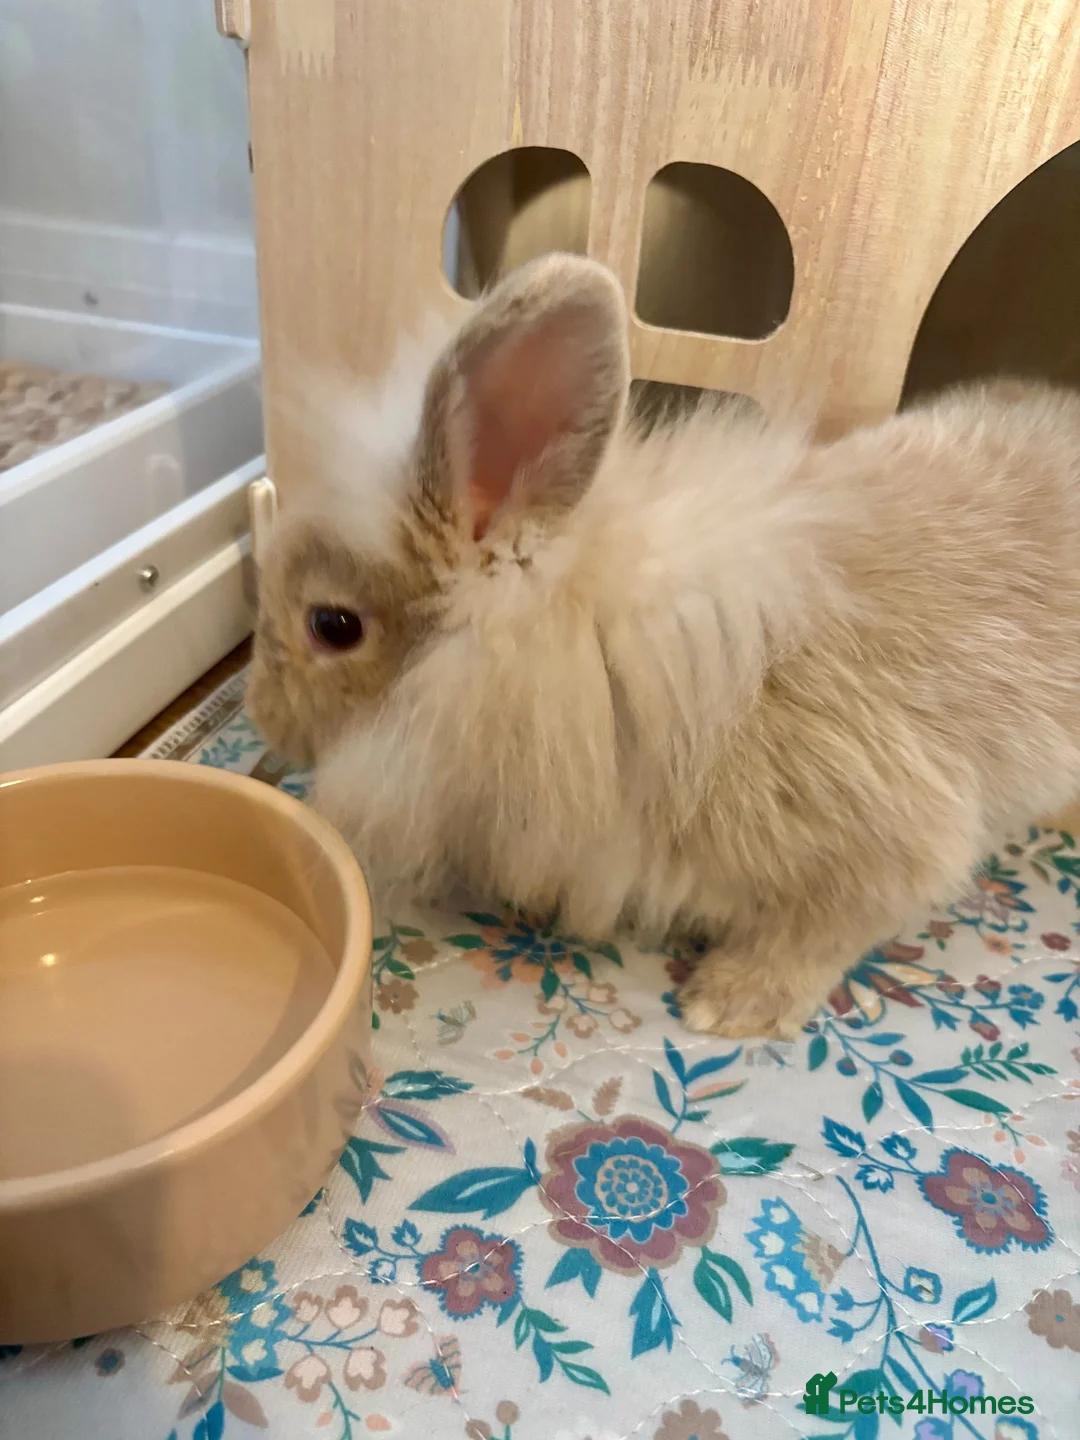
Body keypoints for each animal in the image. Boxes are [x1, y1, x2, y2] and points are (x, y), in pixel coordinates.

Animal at [248, 252, 1080, 1039]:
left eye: (332, 626)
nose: (263, 716)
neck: (591, 651)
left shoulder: (886, 845)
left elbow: (825, 932)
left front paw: (730, 1004)